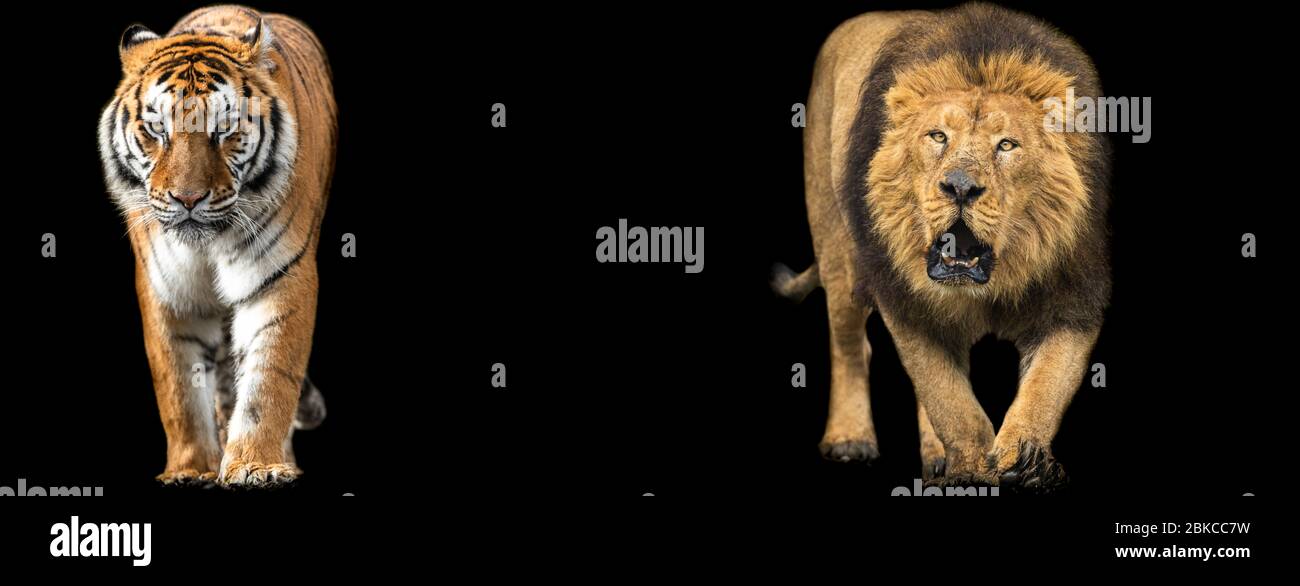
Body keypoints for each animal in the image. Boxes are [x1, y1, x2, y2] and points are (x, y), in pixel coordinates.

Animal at [97, 5, 337, 487]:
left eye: (224, 129)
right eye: (157, 129)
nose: (187, 198)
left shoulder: (281, 277)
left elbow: (269, 379)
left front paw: (257, 464)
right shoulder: (168, 293)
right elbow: (178, 391)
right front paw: (190, 469)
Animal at [774, 3, 1110, 491]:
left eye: (1006, 144)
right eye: (937, 136)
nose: (961, 187)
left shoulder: (1075, 298)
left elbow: (1045, 387)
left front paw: (1024, 461)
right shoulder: (906, 300)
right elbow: (949, 398)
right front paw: (970, 468)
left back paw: (936, 456)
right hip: (835, 247)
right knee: (850, 344)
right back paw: (850, 439)